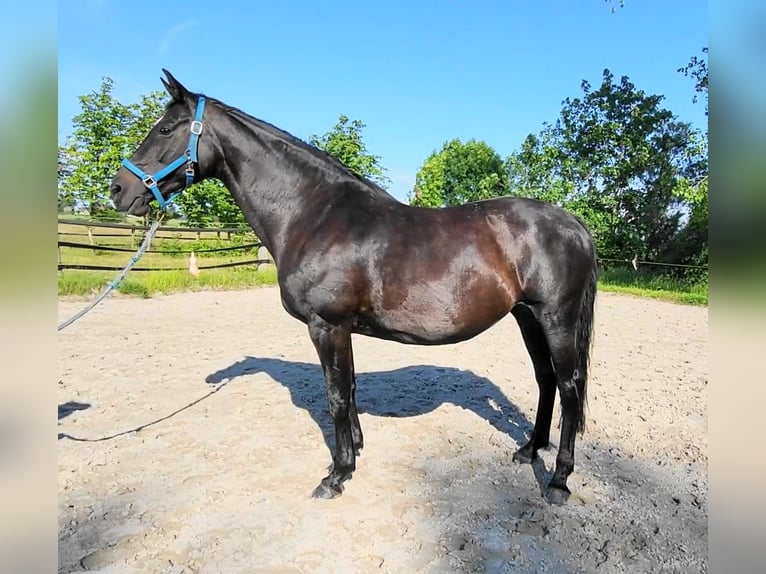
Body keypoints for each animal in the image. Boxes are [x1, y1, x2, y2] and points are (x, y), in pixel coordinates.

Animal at [109, 70, 600, 506]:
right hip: (527, 316)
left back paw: (558, 481)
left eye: (165, 128)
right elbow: (350, 390)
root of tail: (574, 223)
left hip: (555, 318)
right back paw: (528, 450)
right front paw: (356, 451)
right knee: (545, 380)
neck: (314, 215)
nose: (118, 189)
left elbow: (336, 398)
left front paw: (337, 475)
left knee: (569, 387)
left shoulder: (326, 325)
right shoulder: (341, 329)